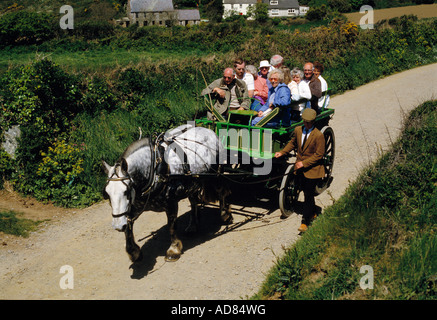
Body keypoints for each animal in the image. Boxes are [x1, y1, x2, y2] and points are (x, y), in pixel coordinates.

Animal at [102, 125, 232, 262]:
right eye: (106, 194)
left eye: (126, 191)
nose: (117, 226)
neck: (155, 169)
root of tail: (209, 130)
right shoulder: (132, 207)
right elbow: (128, 227)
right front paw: (133, 252)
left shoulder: (171, 203)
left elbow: (171, 226)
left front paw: (173, 250)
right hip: (192, 182)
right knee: (193, 201)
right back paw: (193, 226)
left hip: (216, 174)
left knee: (222, 192)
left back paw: (225, 215)